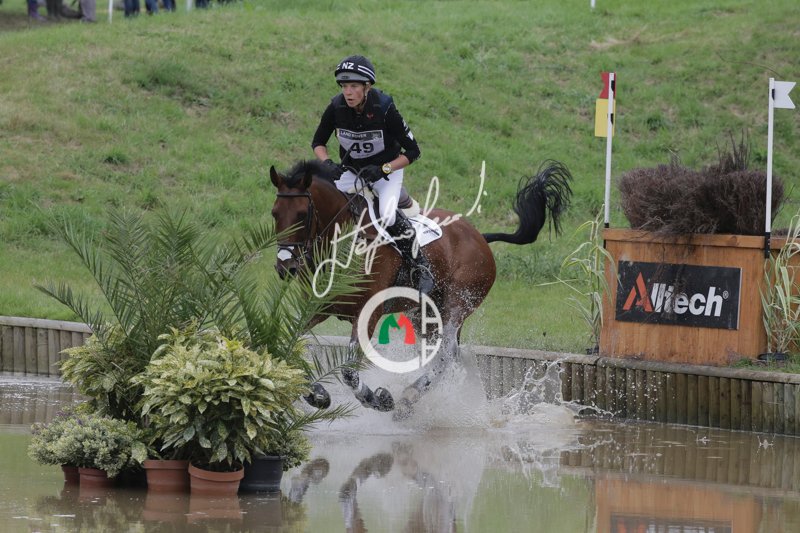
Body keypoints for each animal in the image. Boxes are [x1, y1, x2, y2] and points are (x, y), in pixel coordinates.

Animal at [269, 159, 572, 418]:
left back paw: (408, 397)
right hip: (424, 313)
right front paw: (316, 393)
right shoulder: (317, 309)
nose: (285, 268)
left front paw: (377, 399)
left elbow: (349, 372)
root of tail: (478, 236)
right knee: (441, 354)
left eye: (301, 214)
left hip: (457, 303)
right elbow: (290, 345)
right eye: (275, 214)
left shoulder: (368, 313)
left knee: (447, 354)